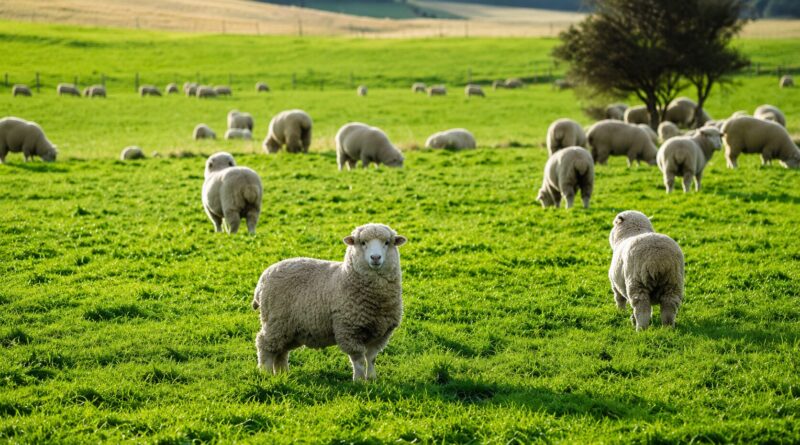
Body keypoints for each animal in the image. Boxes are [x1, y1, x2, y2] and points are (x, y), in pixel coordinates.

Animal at [252, 223, 406, 380]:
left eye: (387, 242)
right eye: (363, 243)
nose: (375, 257)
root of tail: (262, 279)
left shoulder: (382, 332)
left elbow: (371, 358)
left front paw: (372, 378)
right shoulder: (349, 330)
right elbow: (359, 360)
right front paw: (359, 380)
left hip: (289, 328)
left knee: (281, 350)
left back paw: (282, 373)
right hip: (276, 321)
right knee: (264, 344)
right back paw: (266, 373)